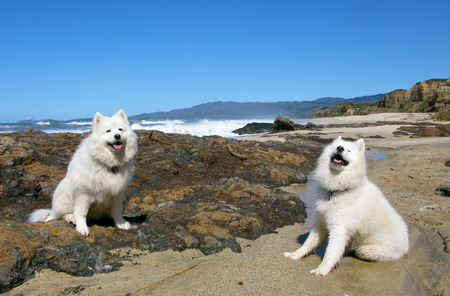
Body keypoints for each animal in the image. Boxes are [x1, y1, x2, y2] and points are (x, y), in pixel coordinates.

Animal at [29, 108, 138, 236]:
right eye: (108, 131)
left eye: (120, 129)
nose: (117, 136)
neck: (110, 163)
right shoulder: (84, 193)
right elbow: (81, 212)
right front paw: (82, 227)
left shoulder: (117, 192)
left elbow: (117, 211)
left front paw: (121, 223)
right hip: (64, 195)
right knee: (61, 215)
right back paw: (71, 218)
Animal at [284, 136, 408, 276]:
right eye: (336, 146)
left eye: (348, 150)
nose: (340, 148)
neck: (337, 190)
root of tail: (406, 244)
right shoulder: (321, 222)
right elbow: (308, 243)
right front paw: (295, 255)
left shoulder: (339, 229)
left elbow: (330, 252)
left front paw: (322, 270)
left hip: (369, 249)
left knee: (362, 251)